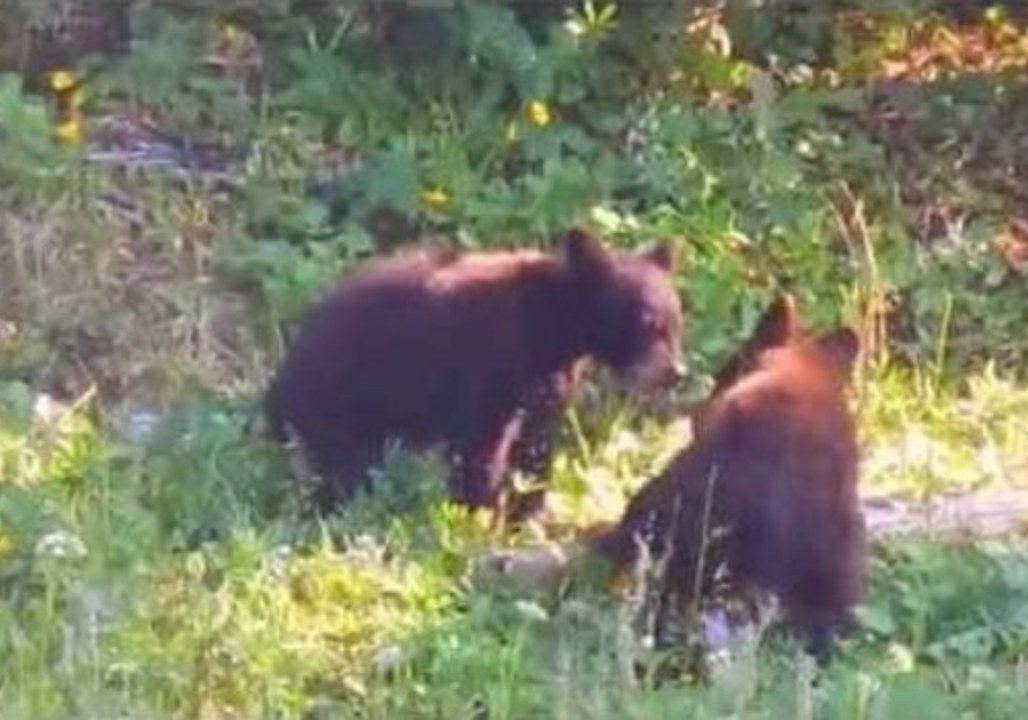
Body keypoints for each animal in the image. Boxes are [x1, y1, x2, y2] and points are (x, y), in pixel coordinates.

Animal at [264, 227, 685, 520]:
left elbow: (535, 445)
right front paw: (478, 515)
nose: (676, 372)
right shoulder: (487, 365)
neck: (552, 326)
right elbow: (480, 448)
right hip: (341, 403)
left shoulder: (546, 382)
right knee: (341, 470)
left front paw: (524, 512)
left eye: (675, 322)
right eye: (647, 323)